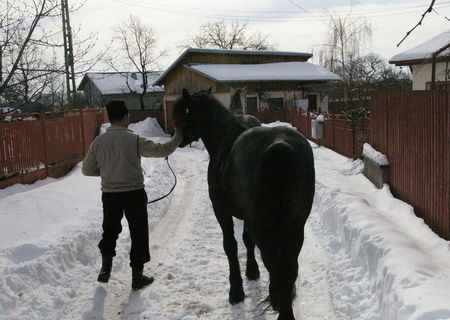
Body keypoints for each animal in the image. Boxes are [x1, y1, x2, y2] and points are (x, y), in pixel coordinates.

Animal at [174, 88, 314, 320]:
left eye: (181, 112)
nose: (177, 138)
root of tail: (280, 146)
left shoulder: (221, 211)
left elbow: (230, 246)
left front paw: (236, 291)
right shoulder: (247, 216)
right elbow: (247, 241)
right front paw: (252, 271)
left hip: (265, 227)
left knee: (275, 264)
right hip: (295, 226)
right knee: (289, 266)